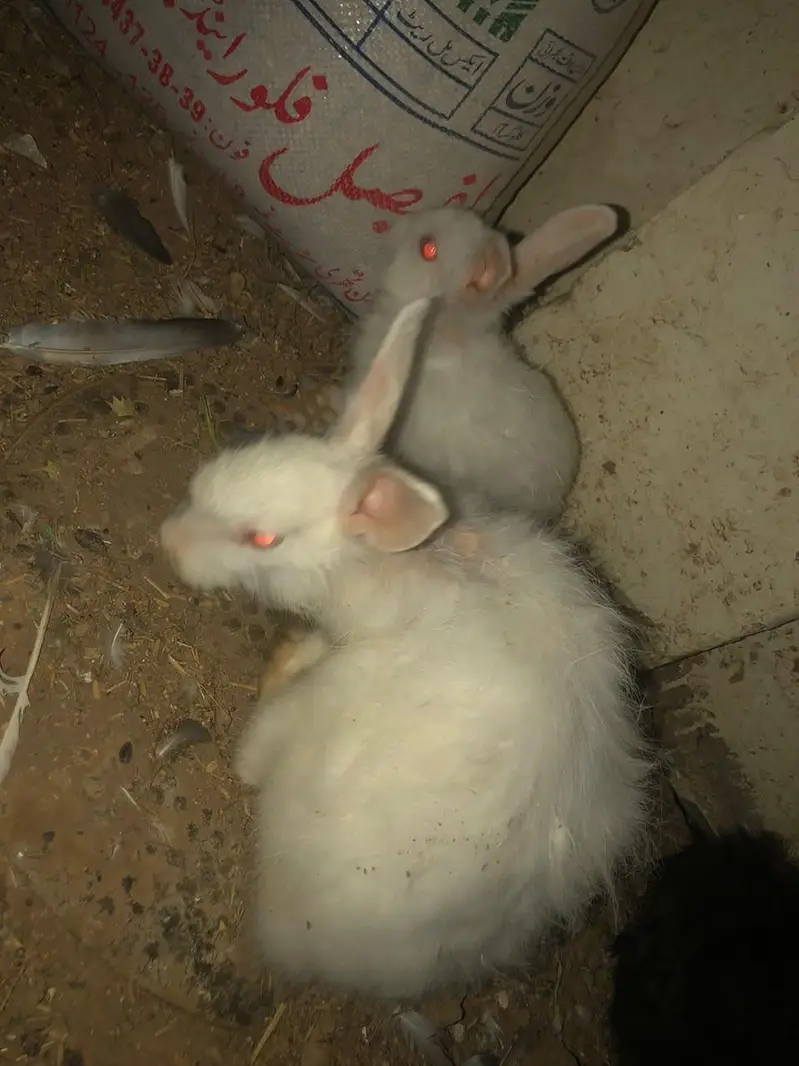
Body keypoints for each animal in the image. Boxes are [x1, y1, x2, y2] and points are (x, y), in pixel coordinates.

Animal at [160, 298, 651, 1000]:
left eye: (262, 539)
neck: (406, 565)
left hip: (318, 716)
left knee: (254, 757)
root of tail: (315, 943)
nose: (168, 540)